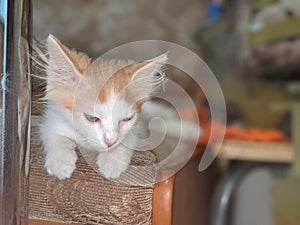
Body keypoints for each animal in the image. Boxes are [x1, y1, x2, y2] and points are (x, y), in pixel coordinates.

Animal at [38, 34, 168, 179]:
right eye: (92, 118)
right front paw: (60, 161)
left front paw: (113, 160)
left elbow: (129, 137)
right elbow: (52, 132)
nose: (110, 142)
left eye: (127, 119)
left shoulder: (138, 126)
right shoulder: (52, 116)